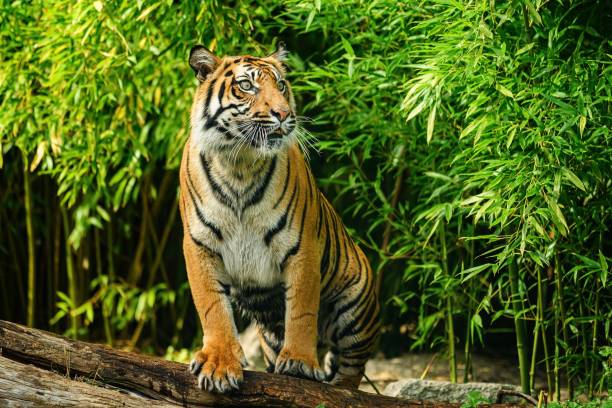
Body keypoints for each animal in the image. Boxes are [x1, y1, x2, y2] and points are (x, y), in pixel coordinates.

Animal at [177, 43, 380, 394]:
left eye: (282, 85)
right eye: (246, 86)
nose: (284, 114)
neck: (239, 164)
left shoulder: (302, 246)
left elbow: (302, 309)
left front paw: (299, 363)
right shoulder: (199, 245)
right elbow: (213, 306)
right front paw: (219, 363)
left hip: (356, 306)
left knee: (350, 374)